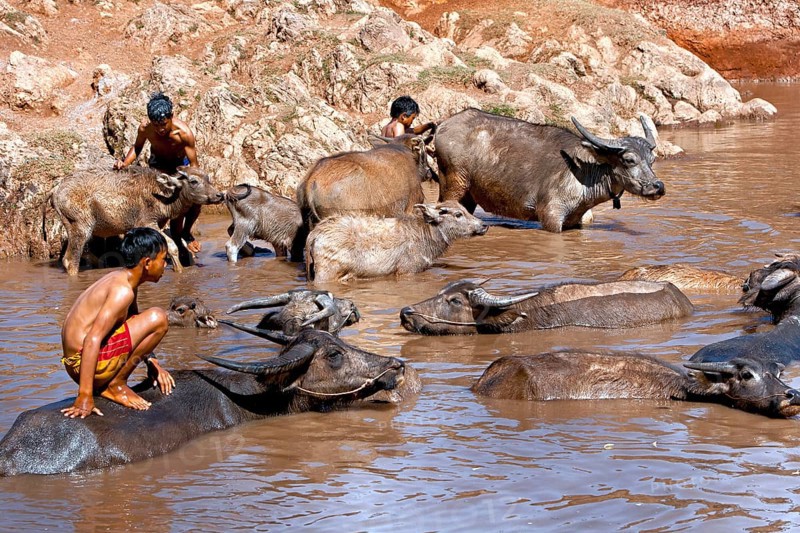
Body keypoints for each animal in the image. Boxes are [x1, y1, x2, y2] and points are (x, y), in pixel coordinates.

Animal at [47, 166, 224, 275]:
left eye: (208, 178)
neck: (165, 200)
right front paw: (179, 270)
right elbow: (172, 245)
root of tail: (54, 192)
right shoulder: (146, 222)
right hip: (81, 225)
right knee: (70, 260)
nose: (219, 195)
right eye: (194, 181)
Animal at [306, 201, 488, 283]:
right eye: (458, 214)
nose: (483, 225)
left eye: (465, 209)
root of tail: (313, 235)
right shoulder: (406, 270)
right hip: (326, 271)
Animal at [434, 108, 663, 231]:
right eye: (629, 160)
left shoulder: (576, 220)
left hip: (470, 194)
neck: (581, 174)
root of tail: (442, 125)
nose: (658, 186)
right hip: (453, 183)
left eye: (652, 159)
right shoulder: (550, 217)